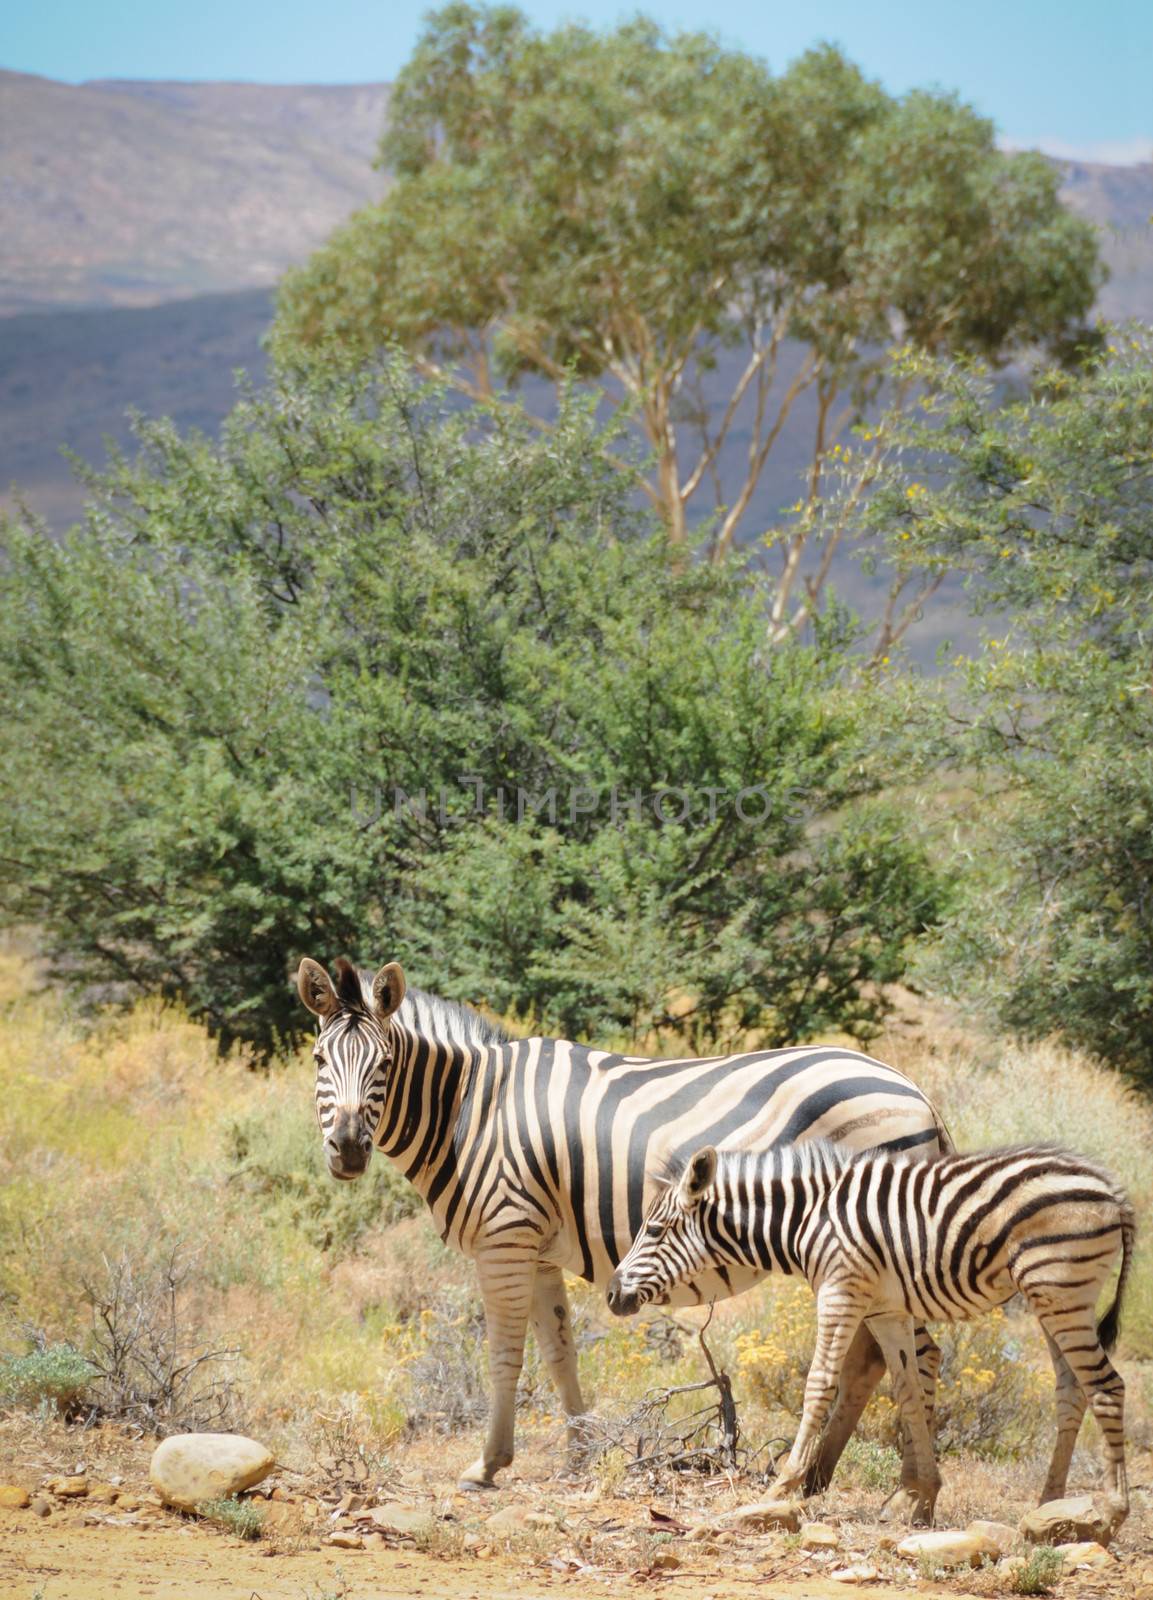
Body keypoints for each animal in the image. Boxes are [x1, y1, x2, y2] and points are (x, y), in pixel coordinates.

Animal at [297, 953, 953, 1491]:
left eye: (384, 1063)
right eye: (319, 1060)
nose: (348, 1150)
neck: (468, 1110)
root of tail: (914, 1090)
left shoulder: (505, 1237)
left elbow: (504, 1353)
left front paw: (487, 1466)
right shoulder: (536, 1247)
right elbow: (558, 1352)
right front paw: (579, 1457)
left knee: (914, 1354)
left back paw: (905, 1490)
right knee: (876, 1357)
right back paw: (820, 1477)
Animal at [607, 1139, 1125, 1523]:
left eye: (654, 1231)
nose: (612, 1295)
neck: (807, 1217)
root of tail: (1112, 1188)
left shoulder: (840, 1293)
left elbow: (819, 1385)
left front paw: (782, 1486)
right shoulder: (885, 1311)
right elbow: (908, 1392)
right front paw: (920, 1494)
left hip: (1059, 1290)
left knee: (1107, 1386)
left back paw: (1112, 1511)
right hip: (1055, 1298)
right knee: (1072, 1390)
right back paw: (1049, 1507)